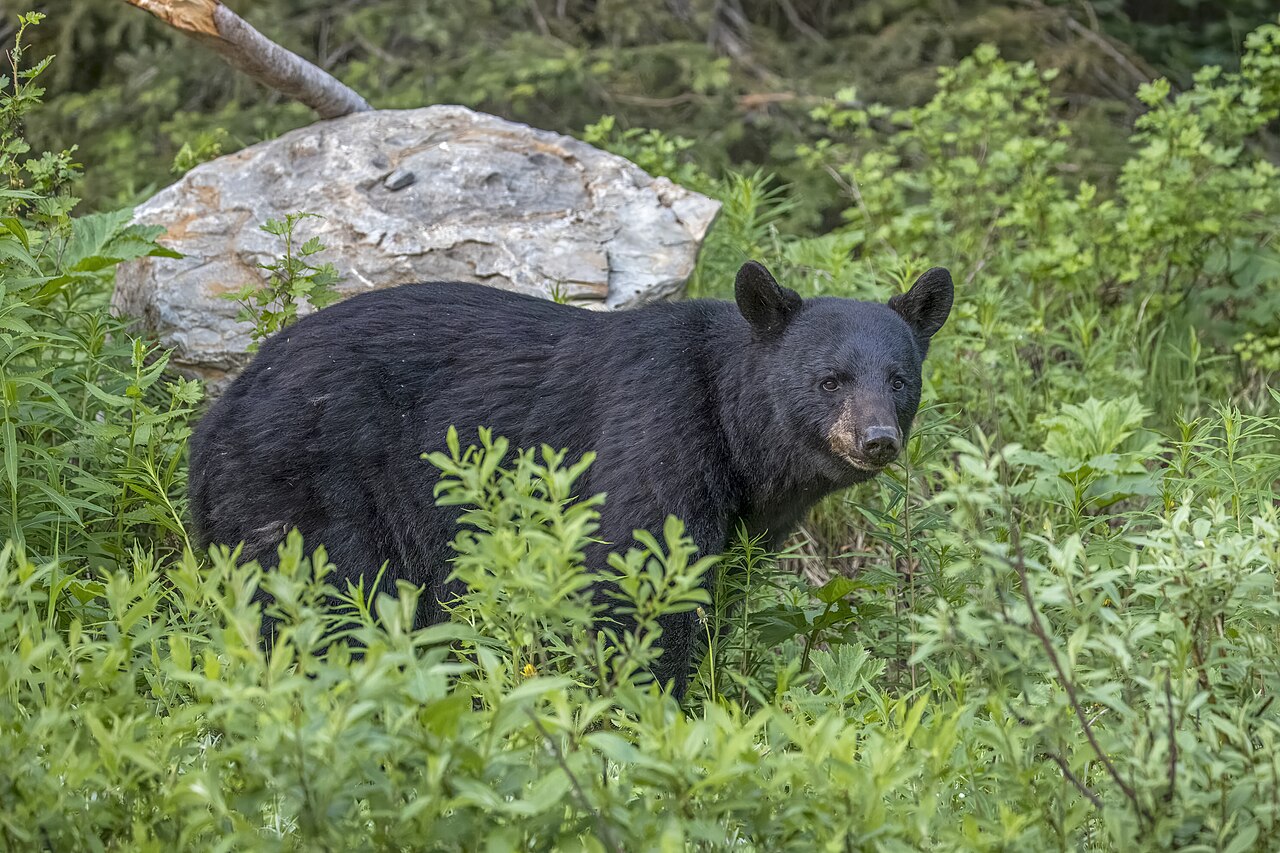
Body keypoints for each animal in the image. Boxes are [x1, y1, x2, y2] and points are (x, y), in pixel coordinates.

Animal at [188, 261, 953, 694]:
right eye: (830, 380)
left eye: (899, 379)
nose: (877, 440)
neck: (737, 434)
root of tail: (214, 419)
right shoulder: (656, 431)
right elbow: (636, 582)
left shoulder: (743, 520)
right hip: (306, 484)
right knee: (325, 606)